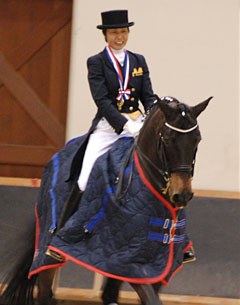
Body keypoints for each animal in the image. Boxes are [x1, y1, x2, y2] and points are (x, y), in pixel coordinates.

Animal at [0, 95, 211, 304]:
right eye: (167, 139)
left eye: (197, 139)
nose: (182, 194)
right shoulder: (130, 264)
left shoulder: (155, 266)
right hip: (50, 250)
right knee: (45, 289)